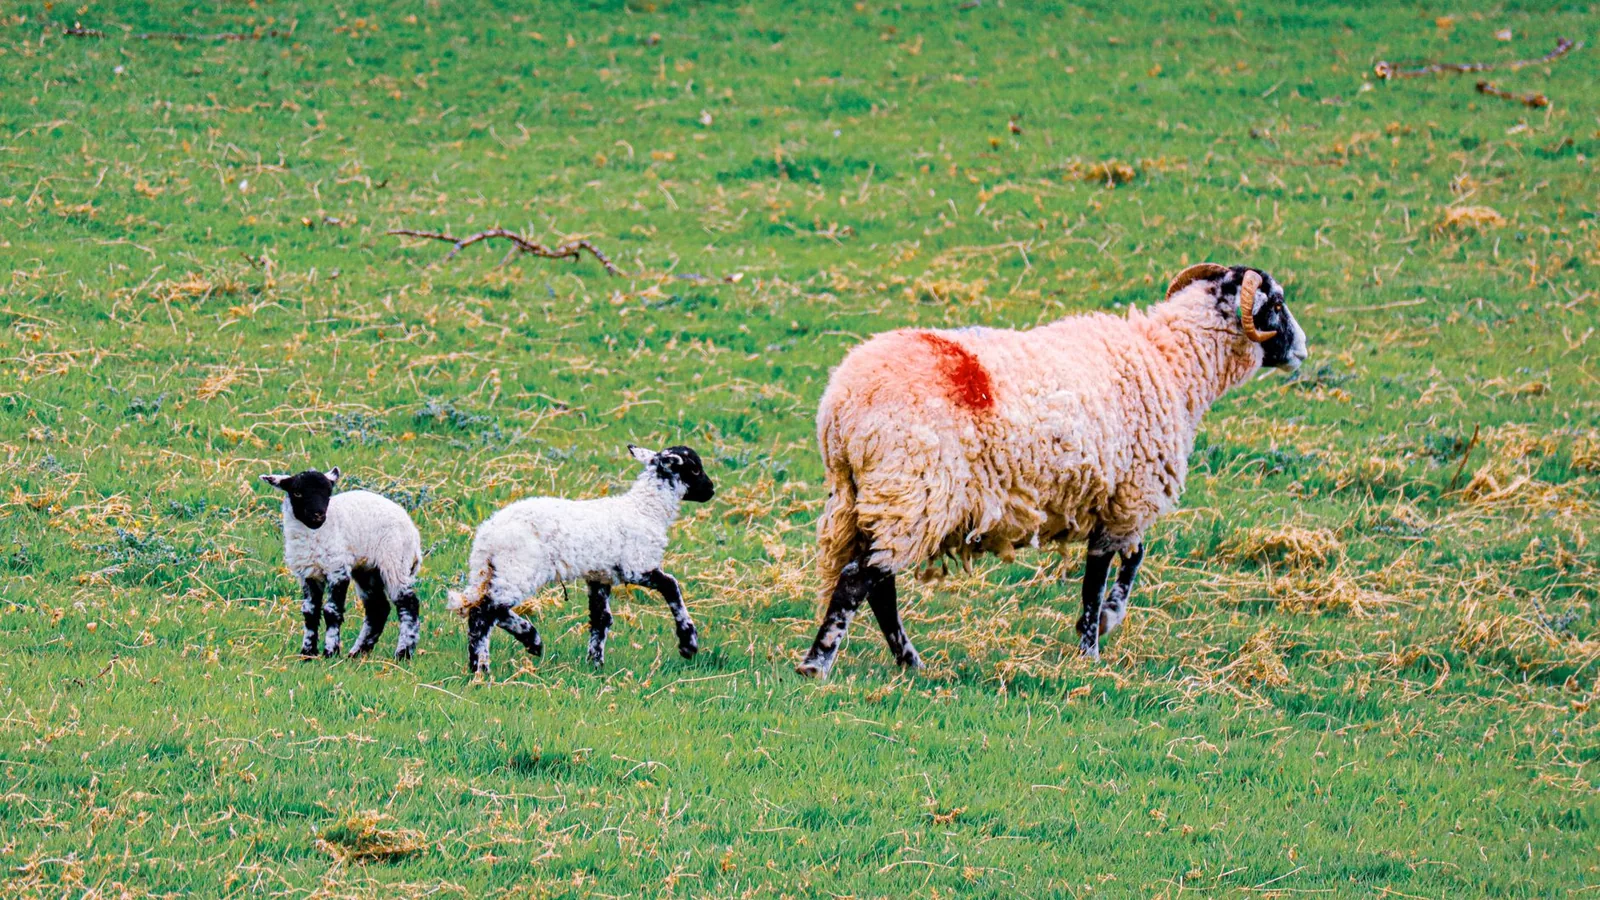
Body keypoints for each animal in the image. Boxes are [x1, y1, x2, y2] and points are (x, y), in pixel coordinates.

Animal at [260, 467, 424, 660]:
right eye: (297, 493)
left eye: (328, 493)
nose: (319, 515)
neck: (314, 535)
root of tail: (414, 535)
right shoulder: (309, 574)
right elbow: (309, 611)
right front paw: (308, 654)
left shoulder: (337, 569)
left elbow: (331, 611)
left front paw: (330, 652)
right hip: (367, 569)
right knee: (378, 608)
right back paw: (357, 653)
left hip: (395, 561)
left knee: (408, 604)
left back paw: (403, 654)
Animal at [447, 445, 715, 674]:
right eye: (695, 468)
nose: (711, 490)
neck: (646, 510)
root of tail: (486, 538)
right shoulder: (636, 566)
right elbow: (671, 586)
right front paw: (688, 644)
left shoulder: (600, 576)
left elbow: (601, 619)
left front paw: (595, 665)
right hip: (519, 569)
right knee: (484, 613)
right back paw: (488, 666)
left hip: (495, 572)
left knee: (483, 609)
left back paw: (520, 646)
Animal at [797, 263, 1308, 678]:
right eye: (1276, 303)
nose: (1303, 350)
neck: (1172, 361)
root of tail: (841, 406)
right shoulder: (1127, 496)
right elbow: (1101, 577)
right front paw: (1096, 639)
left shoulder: (1113, 498)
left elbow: (1128, 560)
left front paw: (1099, 628)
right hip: (915, 492)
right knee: (859, 580)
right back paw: (819, 663)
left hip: (865, 496)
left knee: (877, 585)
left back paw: (908, 661)